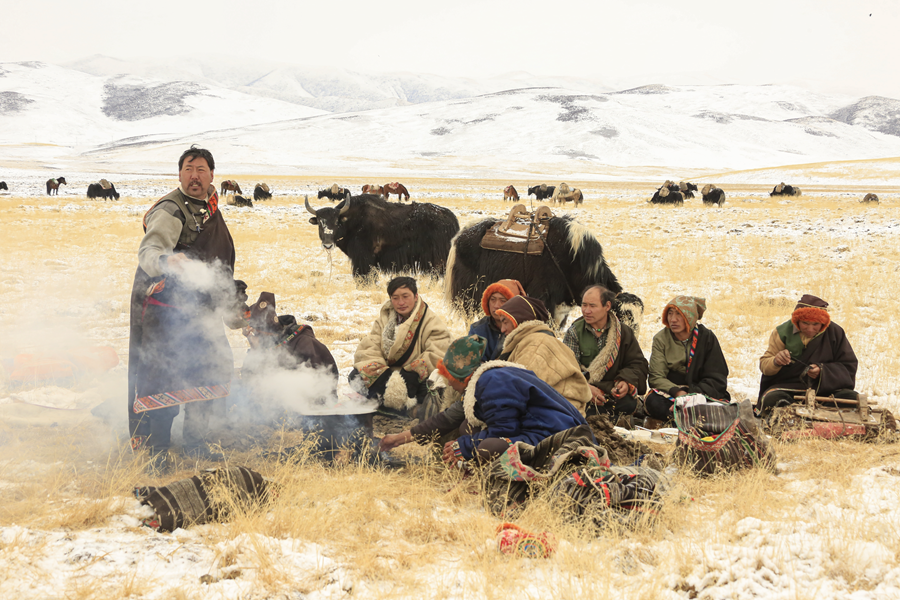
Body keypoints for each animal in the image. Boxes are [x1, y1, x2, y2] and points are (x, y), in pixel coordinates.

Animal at [305, 194, 460, 278]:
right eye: (320, 223)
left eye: (336, 222)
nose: (327, 245)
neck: (351, 221)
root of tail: (452, 219)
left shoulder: (363, 257)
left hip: (438, 259)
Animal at [445, 215, 643, 332]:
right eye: (623, 318)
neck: (573, 261)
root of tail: (460, 235)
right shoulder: (544, 299)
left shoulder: (560, 309)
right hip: (468, 296)